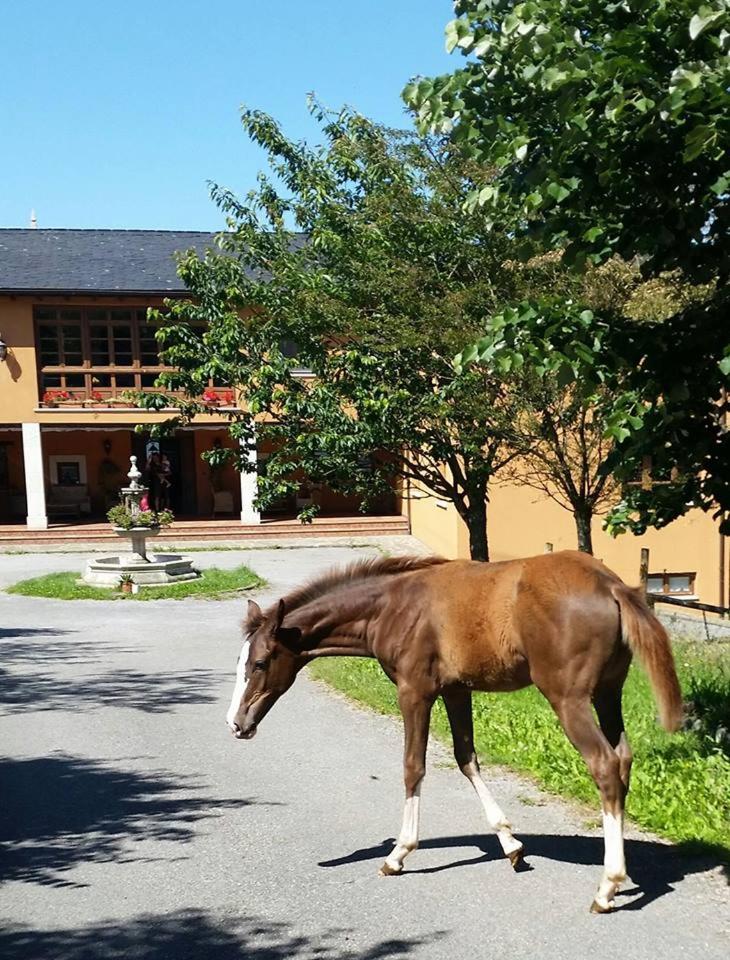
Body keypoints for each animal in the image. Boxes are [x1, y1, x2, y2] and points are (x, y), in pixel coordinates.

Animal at [226, 551, 682, 913]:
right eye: (242, 660)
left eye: (261, 662)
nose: (236, 723)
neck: (392, 607)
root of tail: (611, 585)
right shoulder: (456, 690)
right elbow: (467, 759)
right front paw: (511, 846)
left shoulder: (415, 691)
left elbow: (413, 766)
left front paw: (398, 855)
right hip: (608, 692)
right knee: (622, 760)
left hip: (568, 697)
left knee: (603, 765)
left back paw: (607, 887)